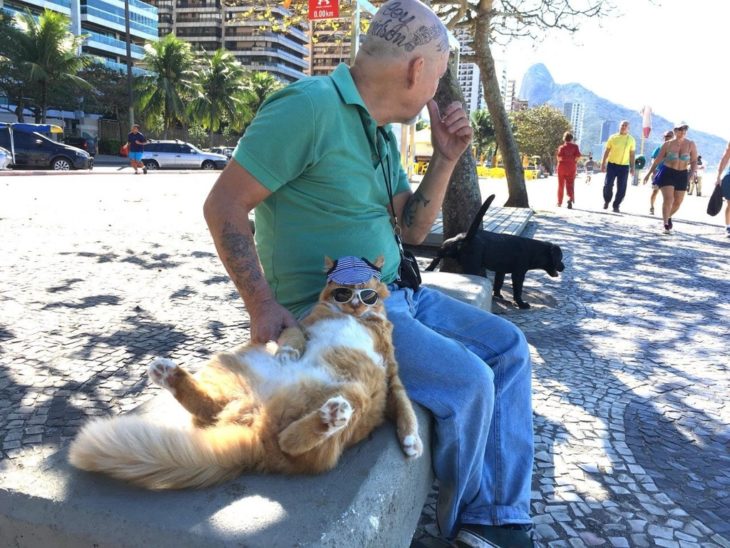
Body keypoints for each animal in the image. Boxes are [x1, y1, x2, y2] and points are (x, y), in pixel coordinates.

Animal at [69, 255, 420, 490]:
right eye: (343, 292)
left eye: (368, 293)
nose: (358, 303)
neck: (354, 318)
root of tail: (256, 433)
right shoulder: (298, 326)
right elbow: (293, 338)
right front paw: (289, 352)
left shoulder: (390, 374)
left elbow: (405, 408)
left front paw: (411, 441)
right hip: (238, 361)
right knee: (252, 425)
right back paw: (168, 373)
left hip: (358, 394)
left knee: (289, 440)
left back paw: (332, 415)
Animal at [426, 196, 564, 308]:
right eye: (560, 258)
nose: (564, 267)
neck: (534, 250)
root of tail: (466, 237)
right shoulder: (518, 273)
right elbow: (517, 290)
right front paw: (521, 304)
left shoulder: (500, 271)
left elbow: (499, 283)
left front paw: (498, 295)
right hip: (473, 265)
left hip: (447, 246)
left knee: (437, 257)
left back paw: (428, 269)